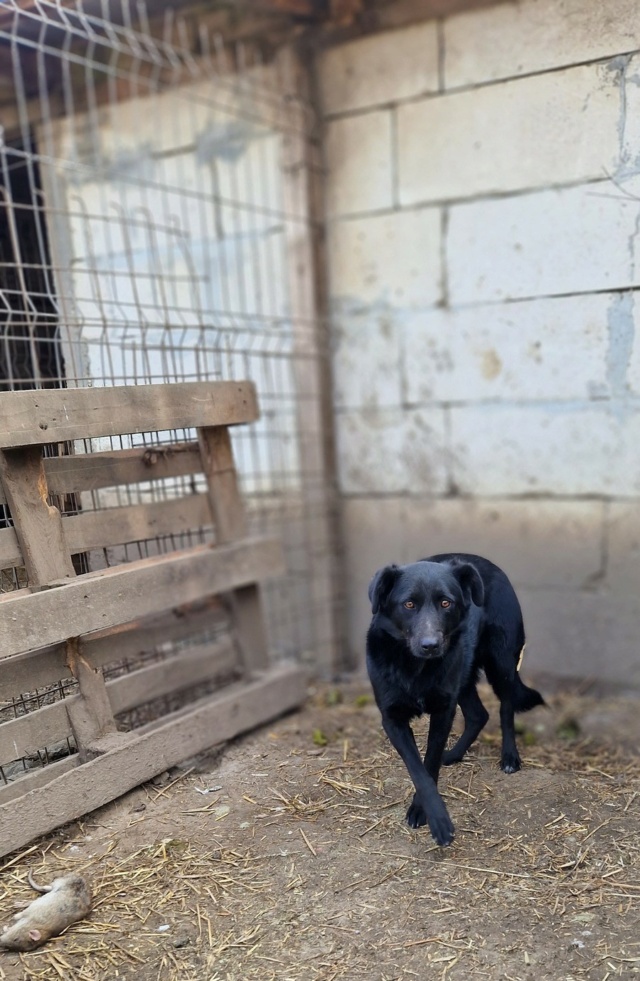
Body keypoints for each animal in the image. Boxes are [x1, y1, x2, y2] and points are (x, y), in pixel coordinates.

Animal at [368, 556, 544, 848]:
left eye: (445, 603)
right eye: (409, 604)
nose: (431, 645)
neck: (416, 668)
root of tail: (485, 563)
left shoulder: (443, 711)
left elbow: (429, 763)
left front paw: (426, 814)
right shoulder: (392, 719)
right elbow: (418, 770)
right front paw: (431, 815)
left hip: (502, 664)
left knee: (505, 710)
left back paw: (509, 757)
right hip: (463, 676)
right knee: (478, 715)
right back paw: (455, 754)